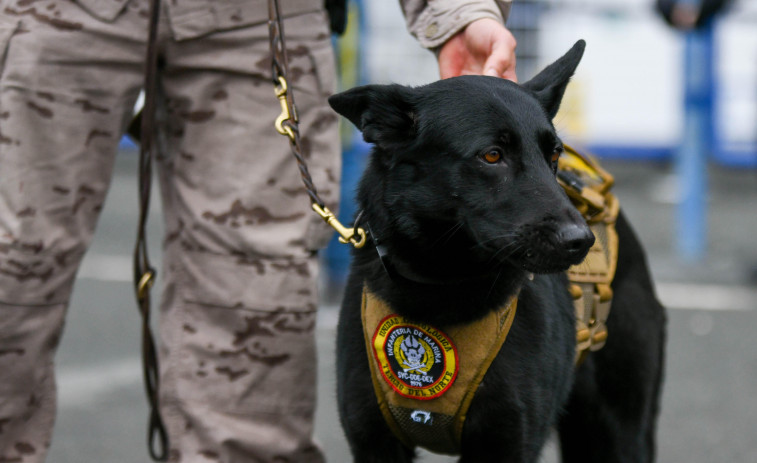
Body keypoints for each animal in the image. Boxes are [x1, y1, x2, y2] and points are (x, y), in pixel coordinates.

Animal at [328, 40, 664, 463]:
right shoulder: (375, 443)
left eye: (553, 155)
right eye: (491, 155)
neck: (442, 287)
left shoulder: (508, 443)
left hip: (618, 431)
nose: (580, 241)